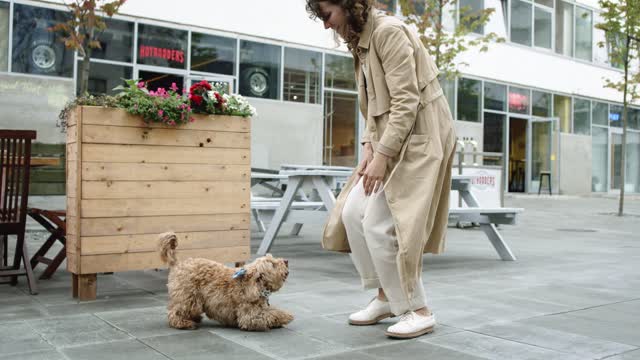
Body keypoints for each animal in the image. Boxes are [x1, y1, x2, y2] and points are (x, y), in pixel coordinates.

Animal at [159, 232, 294, 330]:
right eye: (273, 264)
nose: (286, 261)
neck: (254, 286)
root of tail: (178, 263)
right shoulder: (249, 316)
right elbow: (270, 315)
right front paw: (286, 317)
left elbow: (272, 311)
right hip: (188, 297)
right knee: (175, 312)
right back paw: (183, 323)